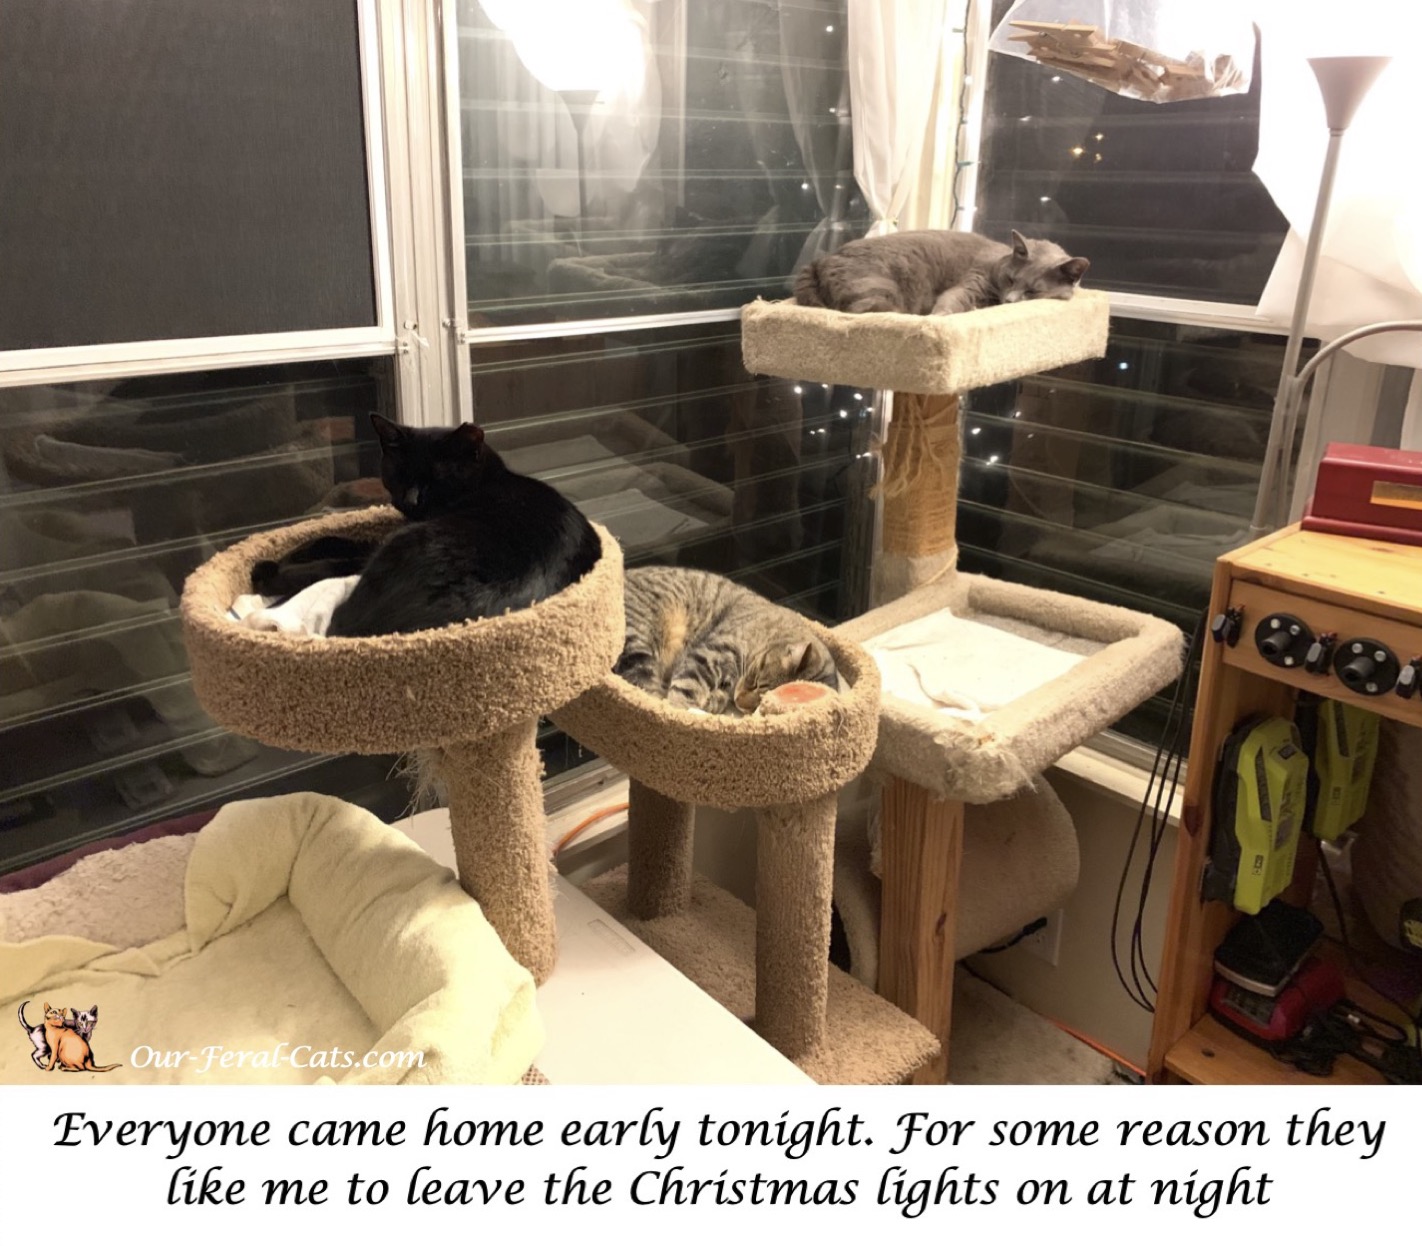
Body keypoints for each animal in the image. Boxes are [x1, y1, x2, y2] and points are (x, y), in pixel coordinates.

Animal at [250, 414, 601, 637]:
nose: (411, 499)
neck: (488, 481)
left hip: (400, 546)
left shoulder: (378, 547)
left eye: (436, 480)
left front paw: (273, 568)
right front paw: (292, 551)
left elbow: (334, 558)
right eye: (399, 474)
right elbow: (330, 537)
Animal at [614, 566, 838, 715]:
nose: (739, 703)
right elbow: (685, 690)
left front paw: (714, 700)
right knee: (646, 691)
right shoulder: (711, 653)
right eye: (756, 682)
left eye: (759, 706)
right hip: (638, 644)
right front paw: (682, 712)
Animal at [793, 229, 1089, 315]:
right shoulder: (972, 282)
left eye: (1033, 291)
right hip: (879, 288)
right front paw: (940, 319)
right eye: (1010, 279)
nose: (1010, 300)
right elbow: (951, 301)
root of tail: (818, 261)